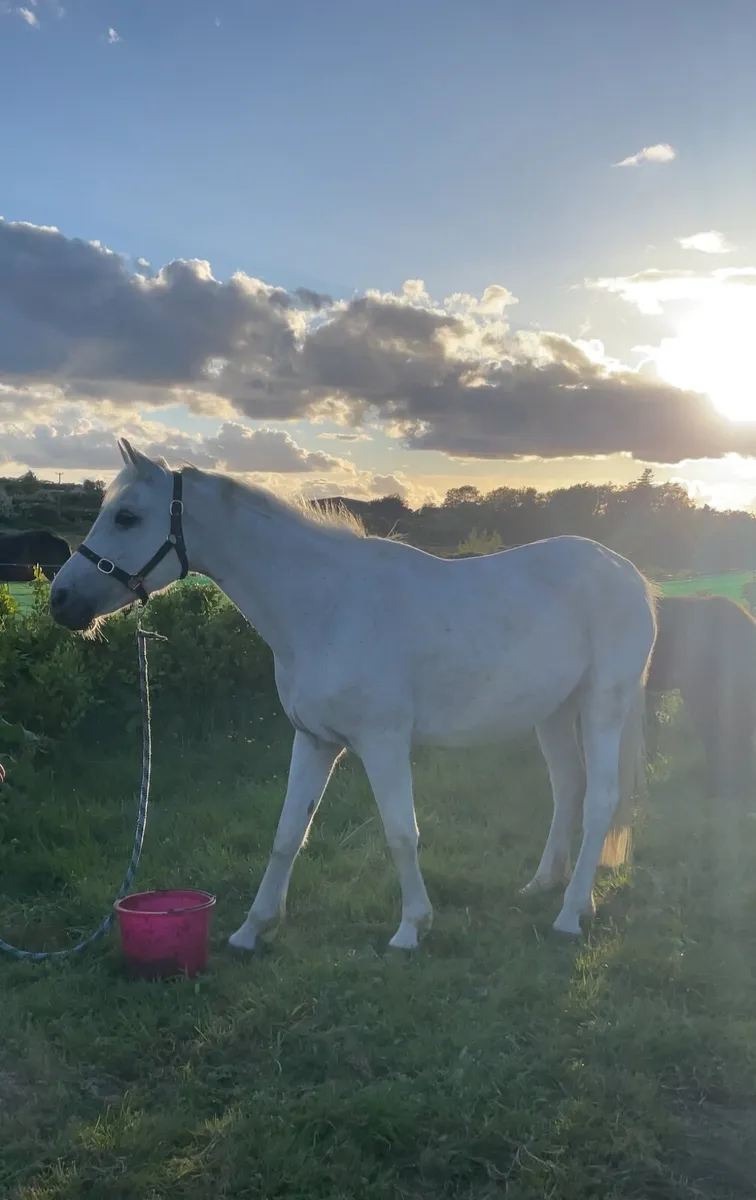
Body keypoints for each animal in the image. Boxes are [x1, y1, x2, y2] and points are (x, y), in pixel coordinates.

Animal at [49, 439, 657, 945]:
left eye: (127, 516)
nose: (61, 600)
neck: (326, 606)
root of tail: (628, 573)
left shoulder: (383, 742)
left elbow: (401, 832)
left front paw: (411, 929)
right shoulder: (314, 740)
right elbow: (287, 834)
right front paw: (252, 929)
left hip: (603, 707)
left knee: (600, 800)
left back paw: (570, 915)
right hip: (553, 713)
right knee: (569, 789)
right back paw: (547, 887)